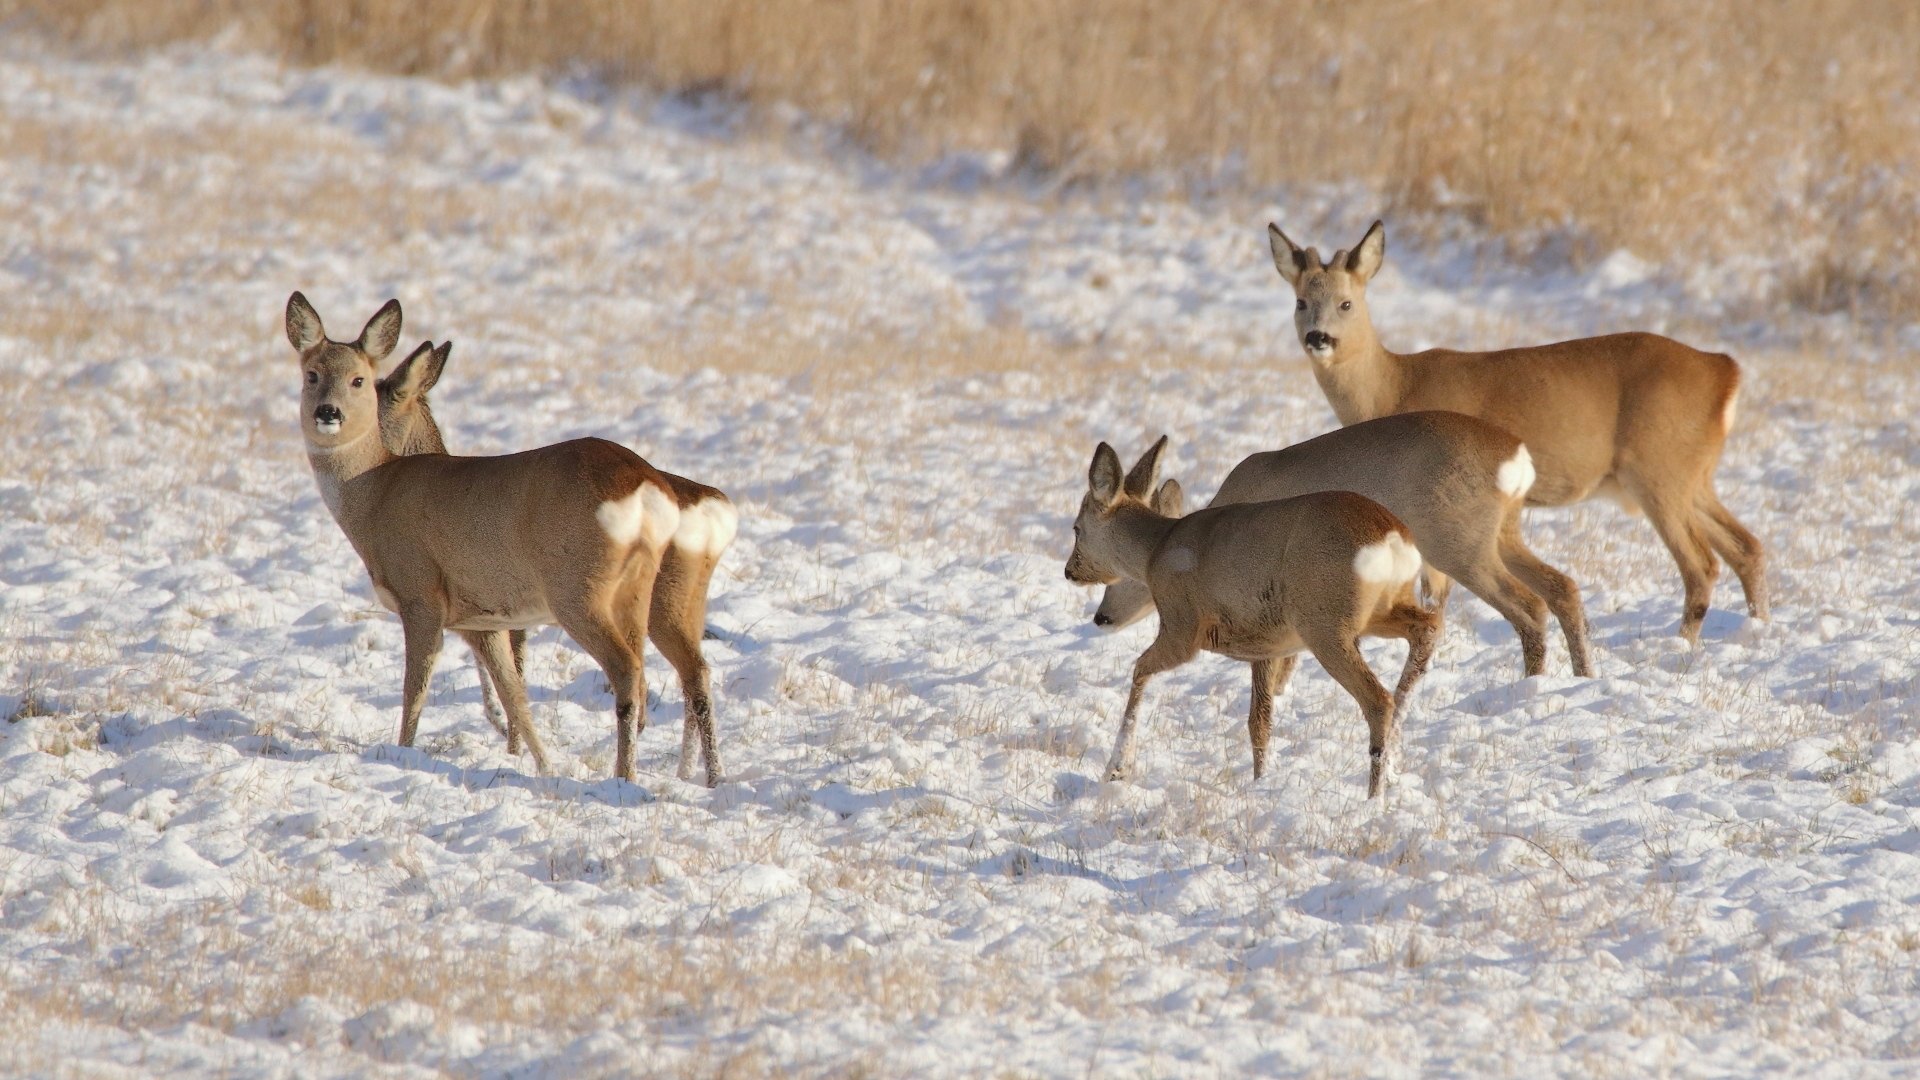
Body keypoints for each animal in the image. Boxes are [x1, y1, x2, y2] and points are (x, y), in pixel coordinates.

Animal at [1067, 432, 1443, 795]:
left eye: (1076, 528)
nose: (1070, 571)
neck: (1155, 550)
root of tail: (1392, 538)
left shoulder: (1182, 625)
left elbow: (1139, 670)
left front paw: (1115, 770)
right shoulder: (1268, 645)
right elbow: (1259, 721)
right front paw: (1260, 781)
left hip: (1326, 625)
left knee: (1378, 699)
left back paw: (1374, 797)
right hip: (1379, 611)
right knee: (1428, 628)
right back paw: (1392, 770)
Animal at [1090, 409, 1597, 672]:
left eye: (1125, 573)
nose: (1100, 617)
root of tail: (1517, 458)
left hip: (1459, 544)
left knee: (1527, 606)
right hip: (1503, 534)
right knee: (1563, 587)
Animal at [1267, 220, 1758, 638]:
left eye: (1347, 303)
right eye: (1300, 302)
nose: (1318, 337)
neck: (1394, 386)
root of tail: (1725, 372)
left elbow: (1435, 594)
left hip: (1657, 470)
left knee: (1701, 564)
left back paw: (1682, 644)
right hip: (1692, 475)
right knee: (1746, 547)